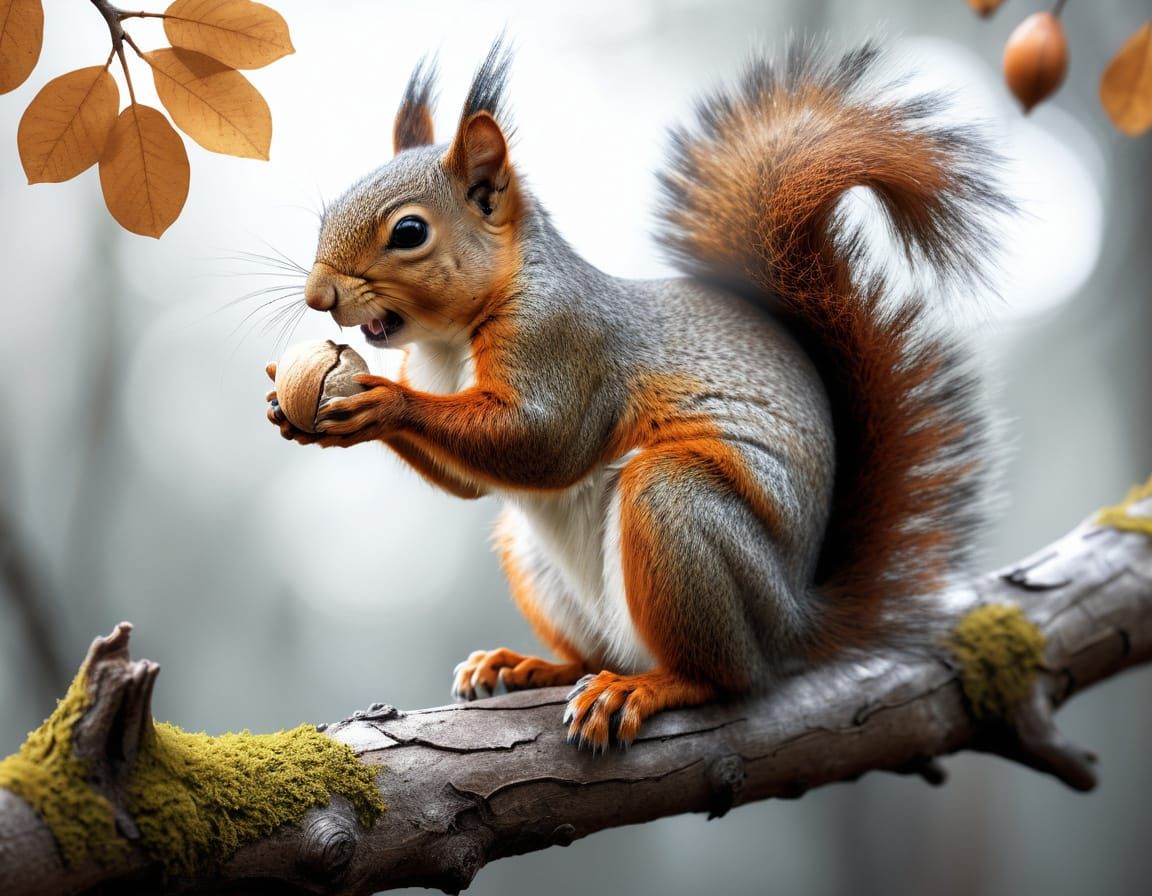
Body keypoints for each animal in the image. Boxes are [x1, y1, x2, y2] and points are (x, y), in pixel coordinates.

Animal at [266, 40, 1007, 751]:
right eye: (329, 212)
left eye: (410, 232)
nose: (317, 295)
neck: (450, 343)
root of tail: (796, 623)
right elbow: (474, 483)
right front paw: (287, 407)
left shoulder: (565, 341)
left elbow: (544, 444)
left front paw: (381, 401)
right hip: (536, 558)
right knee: (592, 650)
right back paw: (529, 665)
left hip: (681, 518)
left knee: (723, 674)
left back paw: (647, 687)